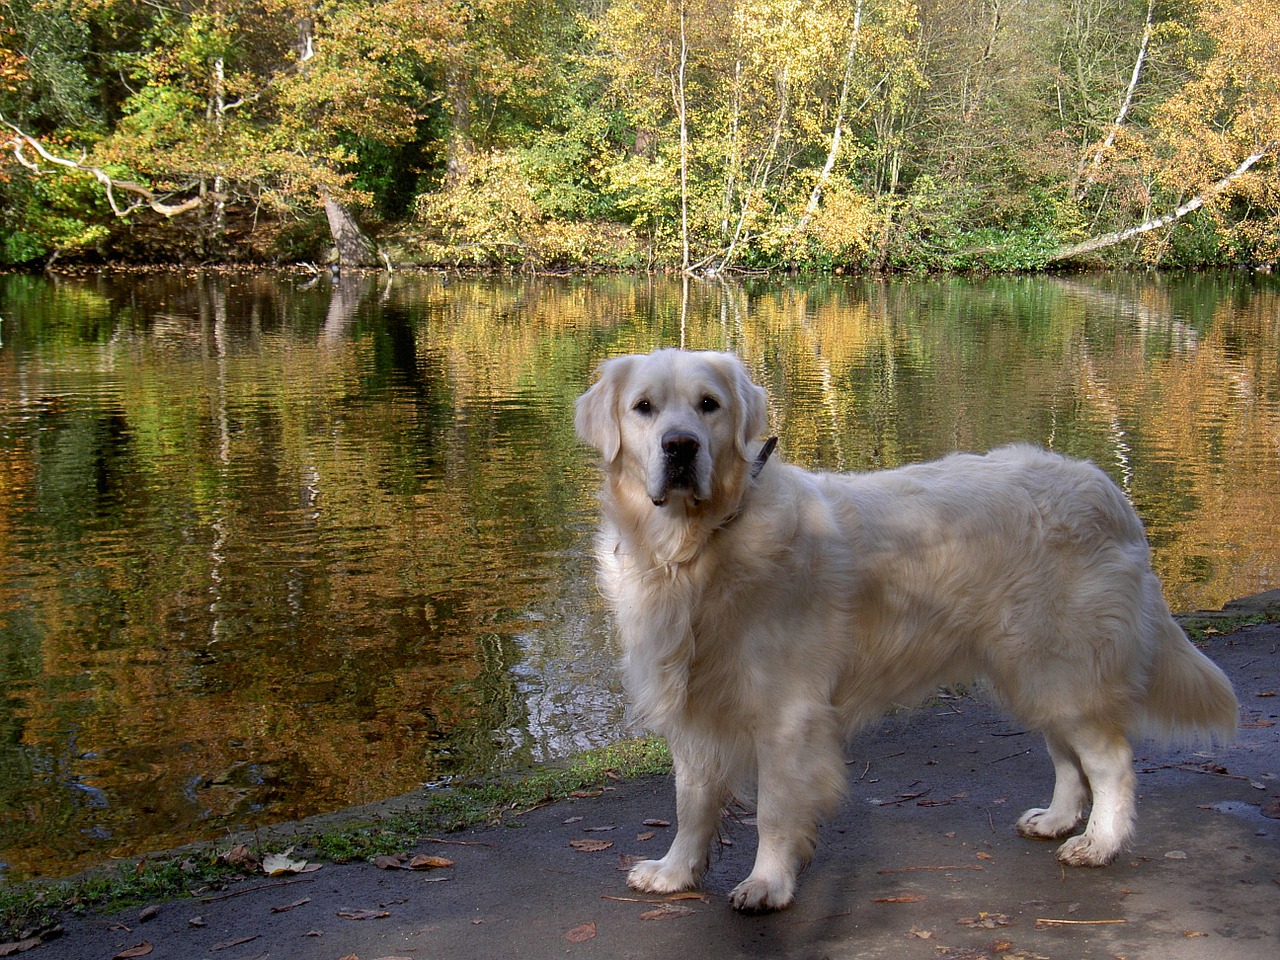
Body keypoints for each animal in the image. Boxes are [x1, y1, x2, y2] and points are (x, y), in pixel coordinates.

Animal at [576, 348, 1233, 916]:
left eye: (708, 405)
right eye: (644, 407)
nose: (680, 447)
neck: (696, 550)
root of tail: (1107, 489)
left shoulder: (788, 714)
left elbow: (775, 810)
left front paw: (767, 883)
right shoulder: (693, 708)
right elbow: (691, 803)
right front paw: (675, 872)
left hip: (1062, 665)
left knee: (1111, 762)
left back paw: (1100, 843)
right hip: (1029, 672)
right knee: (1068, 756)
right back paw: (1056, 819)